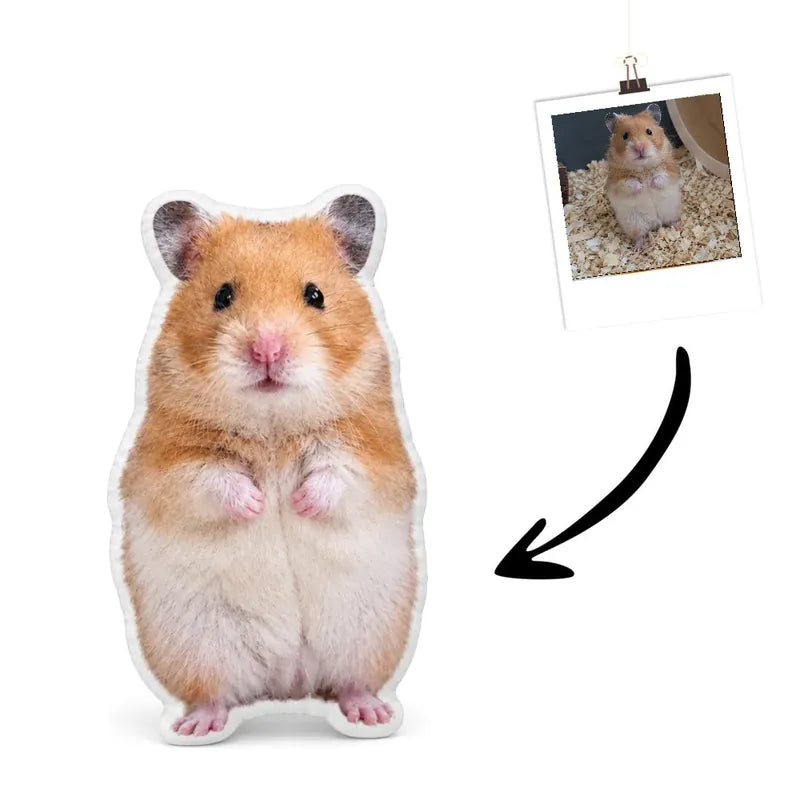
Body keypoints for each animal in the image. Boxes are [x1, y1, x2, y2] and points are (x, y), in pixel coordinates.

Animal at [120, 194, 418, 738]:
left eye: (315, 295)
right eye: (222, 296)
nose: (267, 349)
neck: (273, 423)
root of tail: (288, 683)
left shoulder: (376, 453)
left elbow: (338, 475)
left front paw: (296, 503)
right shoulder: (167, 464)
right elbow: (212, 480)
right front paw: (259, 504)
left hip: (366, 635)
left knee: (351, 683)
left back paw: (371, 713)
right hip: (199, 645)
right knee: (214, 694)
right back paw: (197, 727)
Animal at [605, 103, 682, 249]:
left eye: (649, 131)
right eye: (625, 136)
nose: (639, 147)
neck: (643, 168)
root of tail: (656, 222)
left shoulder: (670, 171)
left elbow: (660, 177)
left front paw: (650, 183)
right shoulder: (617, 182)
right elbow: (629, 183)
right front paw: (642, 187)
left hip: (670, 211)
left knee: (669, 222)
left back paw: (677, 227)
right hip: (634, 224)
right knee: (639, 236)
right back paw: (638, 248)